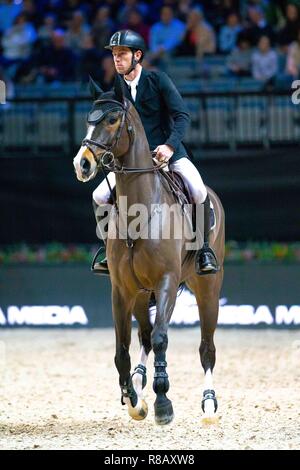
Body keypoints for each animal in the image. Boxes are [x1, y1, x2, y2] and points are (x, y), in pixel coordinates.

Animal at [73, 75, 225, 424]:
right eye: (88, 120)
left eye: (112, 120)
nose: (82, 164)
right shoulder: (121, 290)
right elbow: (122, 349)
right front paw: (134, 400)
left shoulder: (166, 281)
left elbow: (161, 338)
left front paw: (163, 403)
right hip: (143, 295)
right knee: (143, 336)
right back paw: (141, 384)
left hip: (208, 287)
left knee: (206, 346)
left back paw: (209, 403)